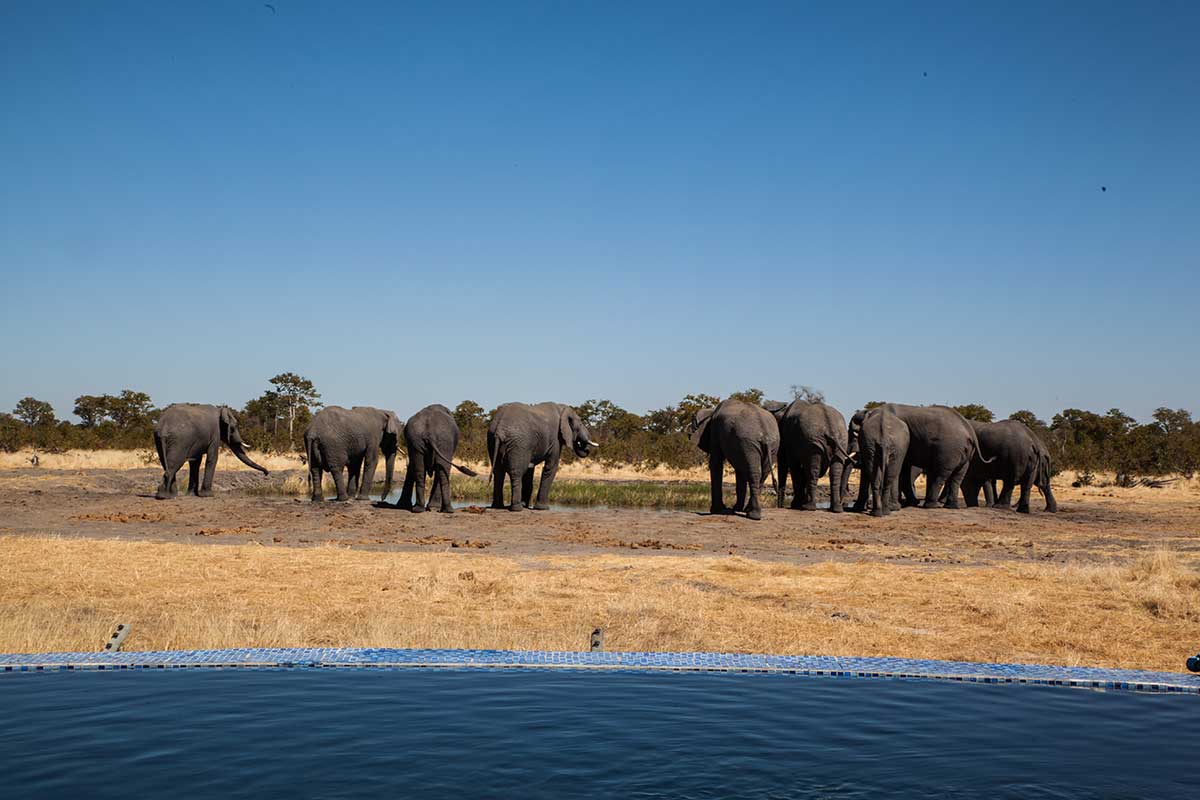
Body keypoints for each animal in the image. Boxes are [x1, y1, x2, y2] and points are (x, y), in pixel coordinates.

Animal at [847, 404, 991, 510]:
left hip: (949, 449)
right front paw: (910, 503)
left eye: (854, 434)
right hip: (964, 452)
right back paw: (951, 506)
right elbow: (904, 470)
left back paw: (931, 506)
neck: (870, 411)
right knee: (957, 476)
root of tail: (969, 430)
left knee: (940, 474)